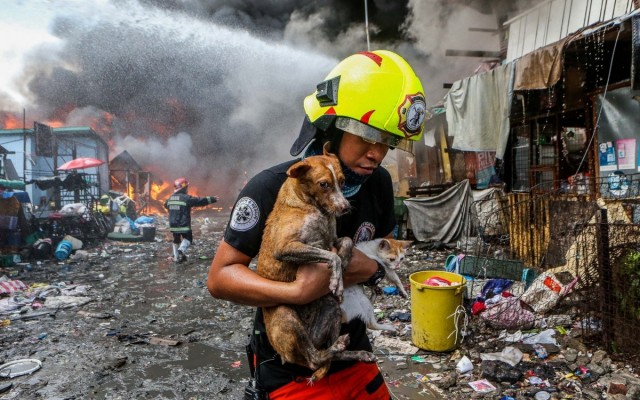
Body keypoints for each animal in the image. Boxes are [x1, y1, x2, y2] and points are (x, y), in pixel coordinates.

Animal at [255, 145, 376, 382]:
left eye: (342, 181)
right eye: (323, 184)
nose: (346, 207)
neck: (312, 207)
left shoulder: (333, 239)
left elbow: (346, 243)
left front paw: (345, 263)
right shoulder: (286, 247)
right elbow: (331, 256)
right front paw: (337, 279)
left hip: (332, 309)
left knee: (326, 355)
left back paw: (354, 351)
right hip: (286, 314)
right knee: (314, 359)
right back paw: (337, 346)